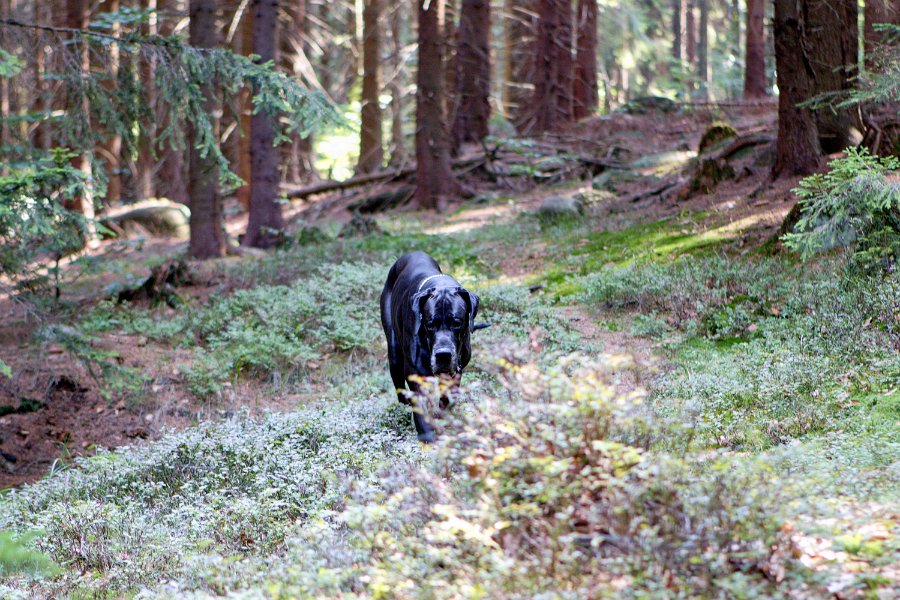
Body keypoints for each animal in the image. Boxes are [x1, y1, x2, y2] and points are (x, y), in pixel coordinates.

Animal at [378, 251, 486, 442]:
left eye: (457, 323)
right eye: (429, 324)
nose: (443, 355)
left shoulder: (456, 373)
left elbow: (447, 400)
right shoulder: (416, 375)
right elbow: (421, 411)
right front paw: (428, 437)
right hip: (394, 353)